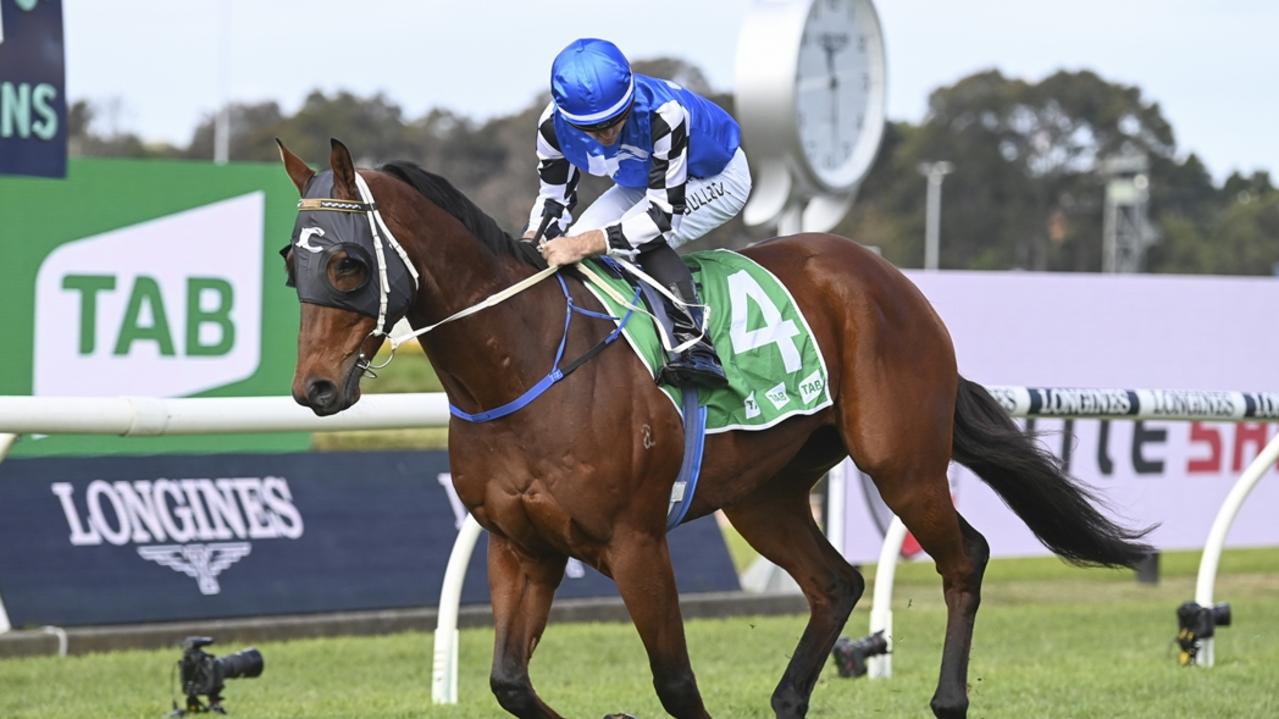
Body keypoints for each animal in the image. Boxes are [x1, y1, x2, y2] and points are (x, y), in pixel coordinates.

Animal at [277, 136, 1151, 711]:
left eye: (349, 264)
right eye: (293, 262)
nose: (314, 388)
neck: (523, 362)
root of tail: (885, 274)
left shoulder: (636, 542)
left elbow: (674, 681)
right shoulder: (519, 546)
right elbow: (508, 681)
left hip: (897, 458)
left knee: (963, 554)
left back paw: (947, 698)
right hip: (763, 493)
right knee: (835, 581)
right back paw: (789, 696)